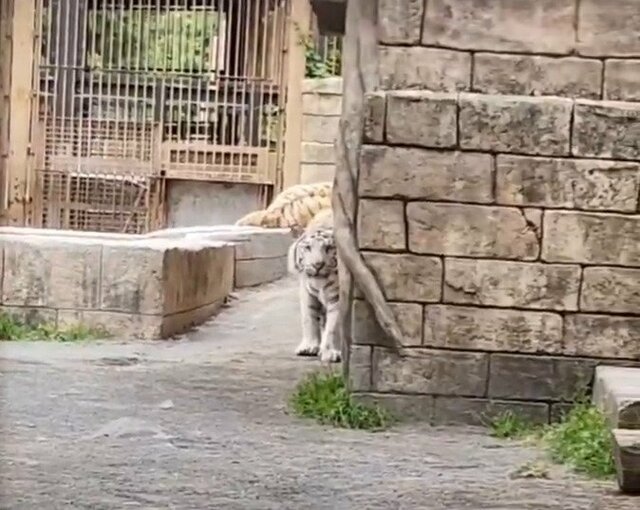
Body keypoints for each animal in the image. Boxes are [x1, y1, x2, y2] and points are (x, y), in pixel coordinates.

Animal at [287, 219, 340, 363]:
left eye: (328, 248)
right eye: (308, 248)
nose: (317, 265)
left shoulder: (338, 297)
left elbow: (334, 325)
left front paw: (330, 353)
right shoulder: (306, 292)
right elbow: (309, 318)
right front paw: (309, 347)